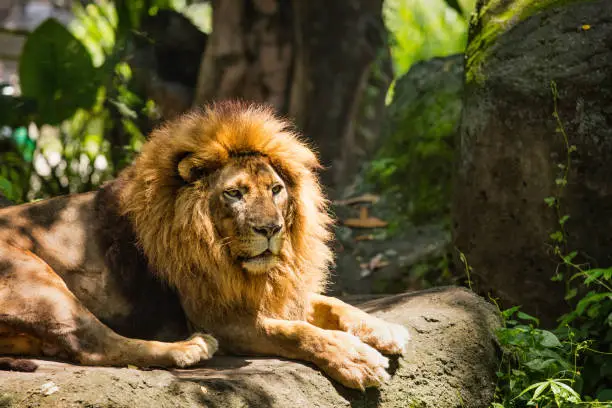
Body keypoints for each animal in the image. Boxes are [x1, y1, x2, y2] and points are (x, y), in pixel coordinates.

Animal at [1, 101, 412, 388]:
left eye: (275, 189)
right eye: (234, 193)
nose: (271, 229)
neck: (227, 258)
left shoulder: (268, 294)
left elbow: (331, 304)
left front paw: (385, 329)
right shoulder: (219, 317)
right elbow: (297, 332)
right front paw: (356, 360)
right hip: (36, 276)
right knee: (93, 345)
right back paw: (190, 349)